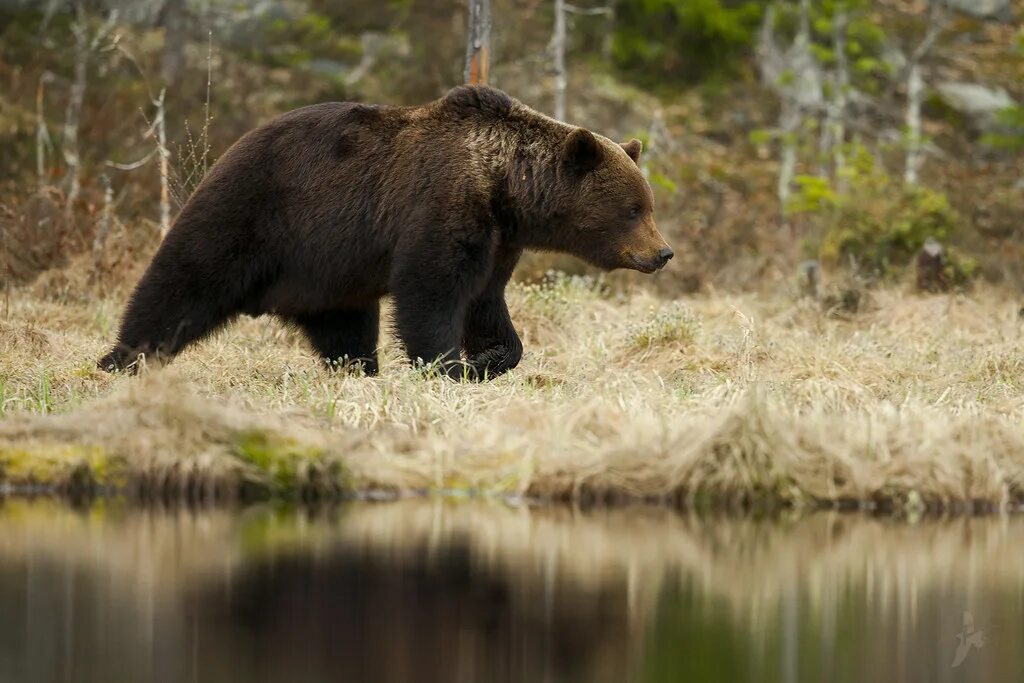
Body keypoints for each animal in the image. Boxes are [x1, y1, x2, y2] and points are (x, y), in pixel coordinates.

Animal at [96, 84, 671, 378]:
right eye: (634, 208)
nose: (663, 253)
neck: (504, 185)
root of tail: (227, 149)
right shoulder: (441, 206)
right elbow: (430, 291)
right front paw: (445, 365)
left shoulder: (499, 239)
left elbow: (486, 300)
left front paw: (490, 357)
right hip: (252, 211)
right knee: (183, 282)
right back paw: (120, 359)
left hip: (328, 272)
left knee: (346, 327)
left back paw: (358, 369)